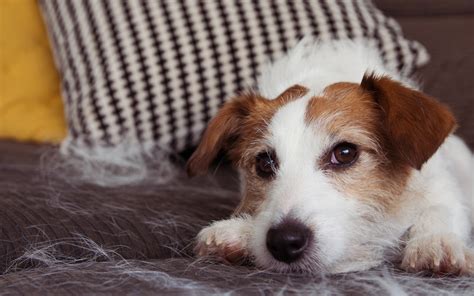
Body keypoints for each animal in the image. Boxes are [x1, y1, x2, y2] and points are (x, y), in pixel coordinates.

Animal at [187, 39, 472, 276]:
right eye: (264, 163)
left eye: (345, 153)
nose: (284, 241)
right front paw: (238, 232)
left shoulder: (439, 185)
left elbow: (439, 208)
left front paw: (434, 242)